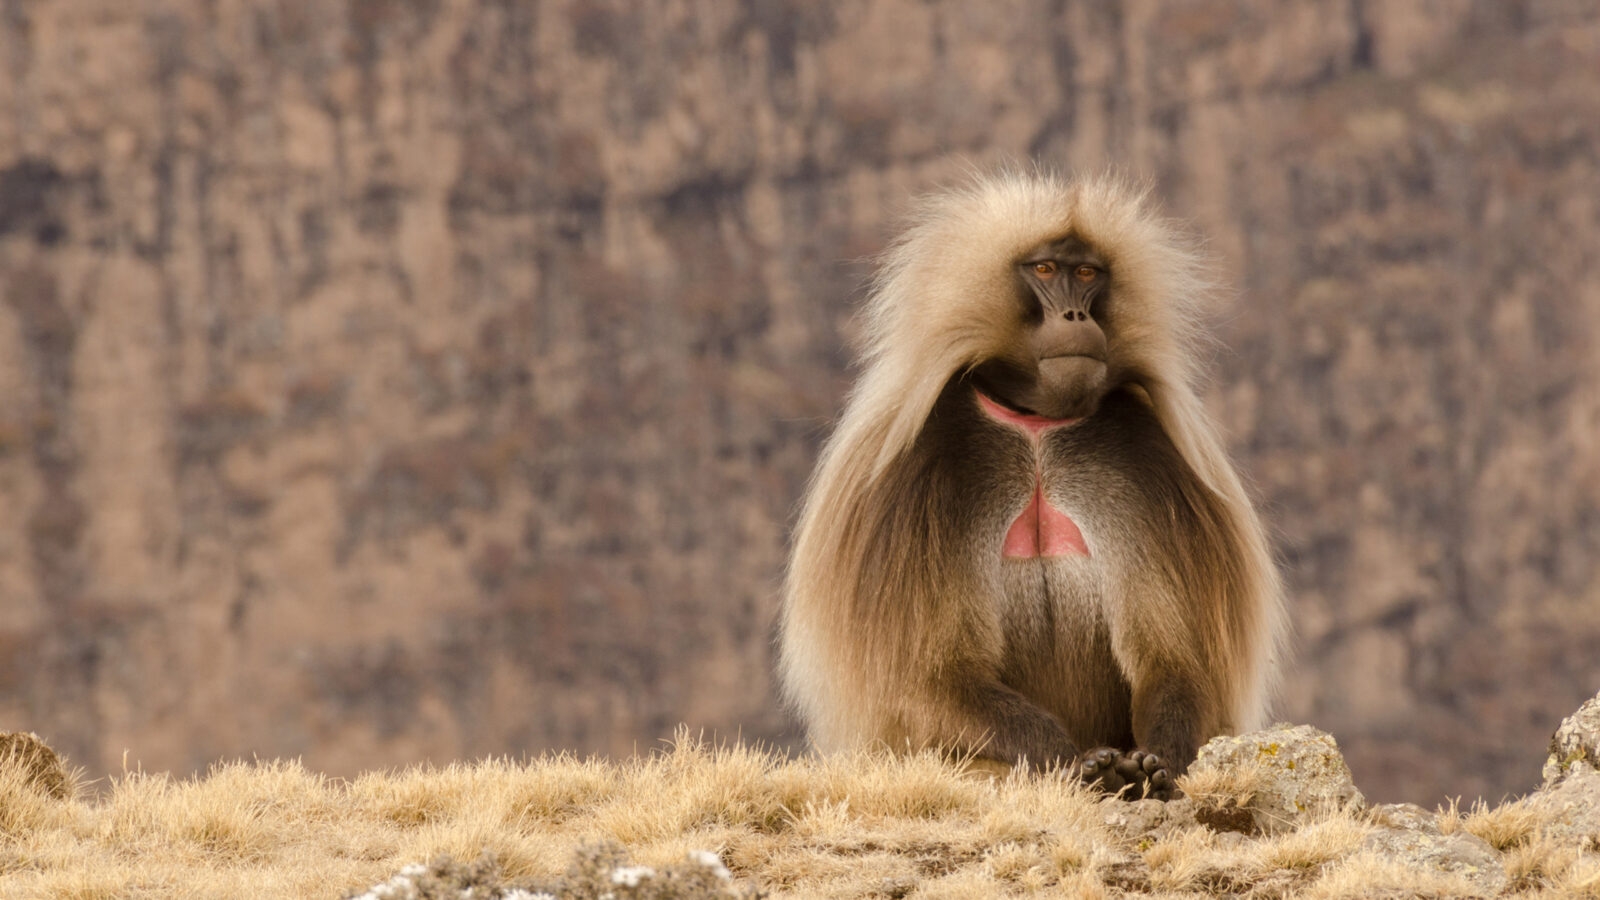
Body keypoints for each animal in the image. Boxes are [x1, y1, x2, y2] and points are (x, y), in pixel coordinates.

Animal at [777, 170, 1285, 801]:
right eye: (1044, 269)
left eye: (1088, 273)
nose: (1074, 318)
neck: (1037, 426)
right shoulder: (913, 483)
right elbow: (930, 679)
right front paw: (1081, 763)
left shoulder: (1152, 467)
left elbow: (1177, 659)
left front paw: (1150, 766)